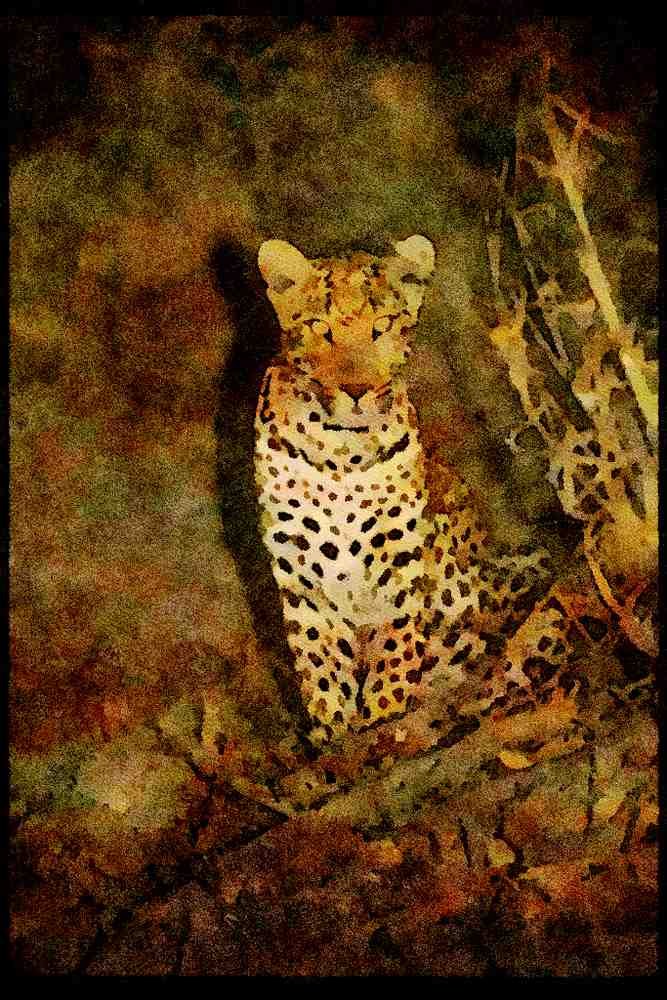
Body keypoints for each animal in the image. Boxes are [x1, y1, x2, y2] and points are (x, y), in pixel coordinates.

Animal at [254, 235, 551, 743]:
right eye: (319, 327)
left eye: (383, 326)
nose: (356, 389)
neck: (342, 451)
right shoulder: (296, 565)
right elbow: (316, 654)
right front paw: (332, 727)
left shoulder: (401, 552)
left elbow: (395, 636)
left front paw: (383, 712)